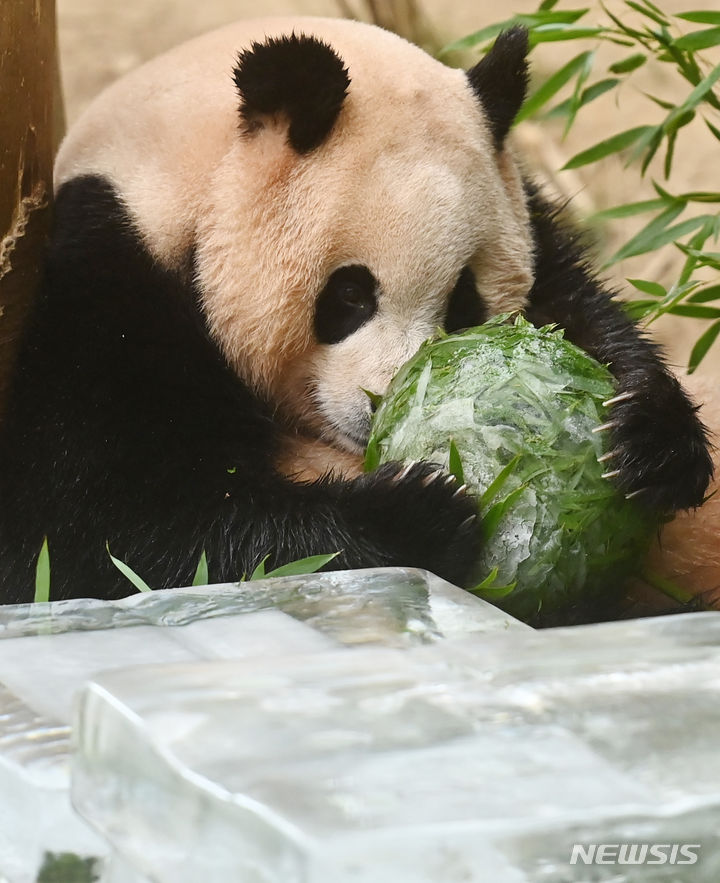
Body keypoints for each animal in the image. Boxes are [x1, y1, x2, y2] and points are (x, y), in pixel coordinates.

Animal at [0, 19, 712, 608]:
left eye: (465, 299)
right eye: (348, 295)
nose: (382, 406)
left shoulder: (534, 222)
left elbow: (576, 311)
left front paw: (645, 435)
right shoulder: (113, 274)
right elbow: (92, 527)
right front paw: (416, 513)